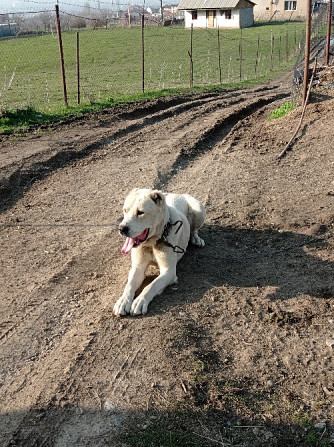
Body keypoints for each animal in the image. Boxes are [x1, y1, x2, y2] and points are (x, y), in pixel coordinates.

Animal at [113, 189, 205, 318]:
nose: (121, 229)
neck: (153, 242)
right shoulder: (137, 267)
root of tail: (178, 194)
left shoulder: (169, 272)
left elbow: (152, 285)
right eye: (125, 210)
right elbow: (129, 285)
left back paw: (196, 239)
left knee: (194, 230)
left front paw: (140, 301)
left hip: (199, 210)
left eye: (140, 212)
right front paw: (123, 301)